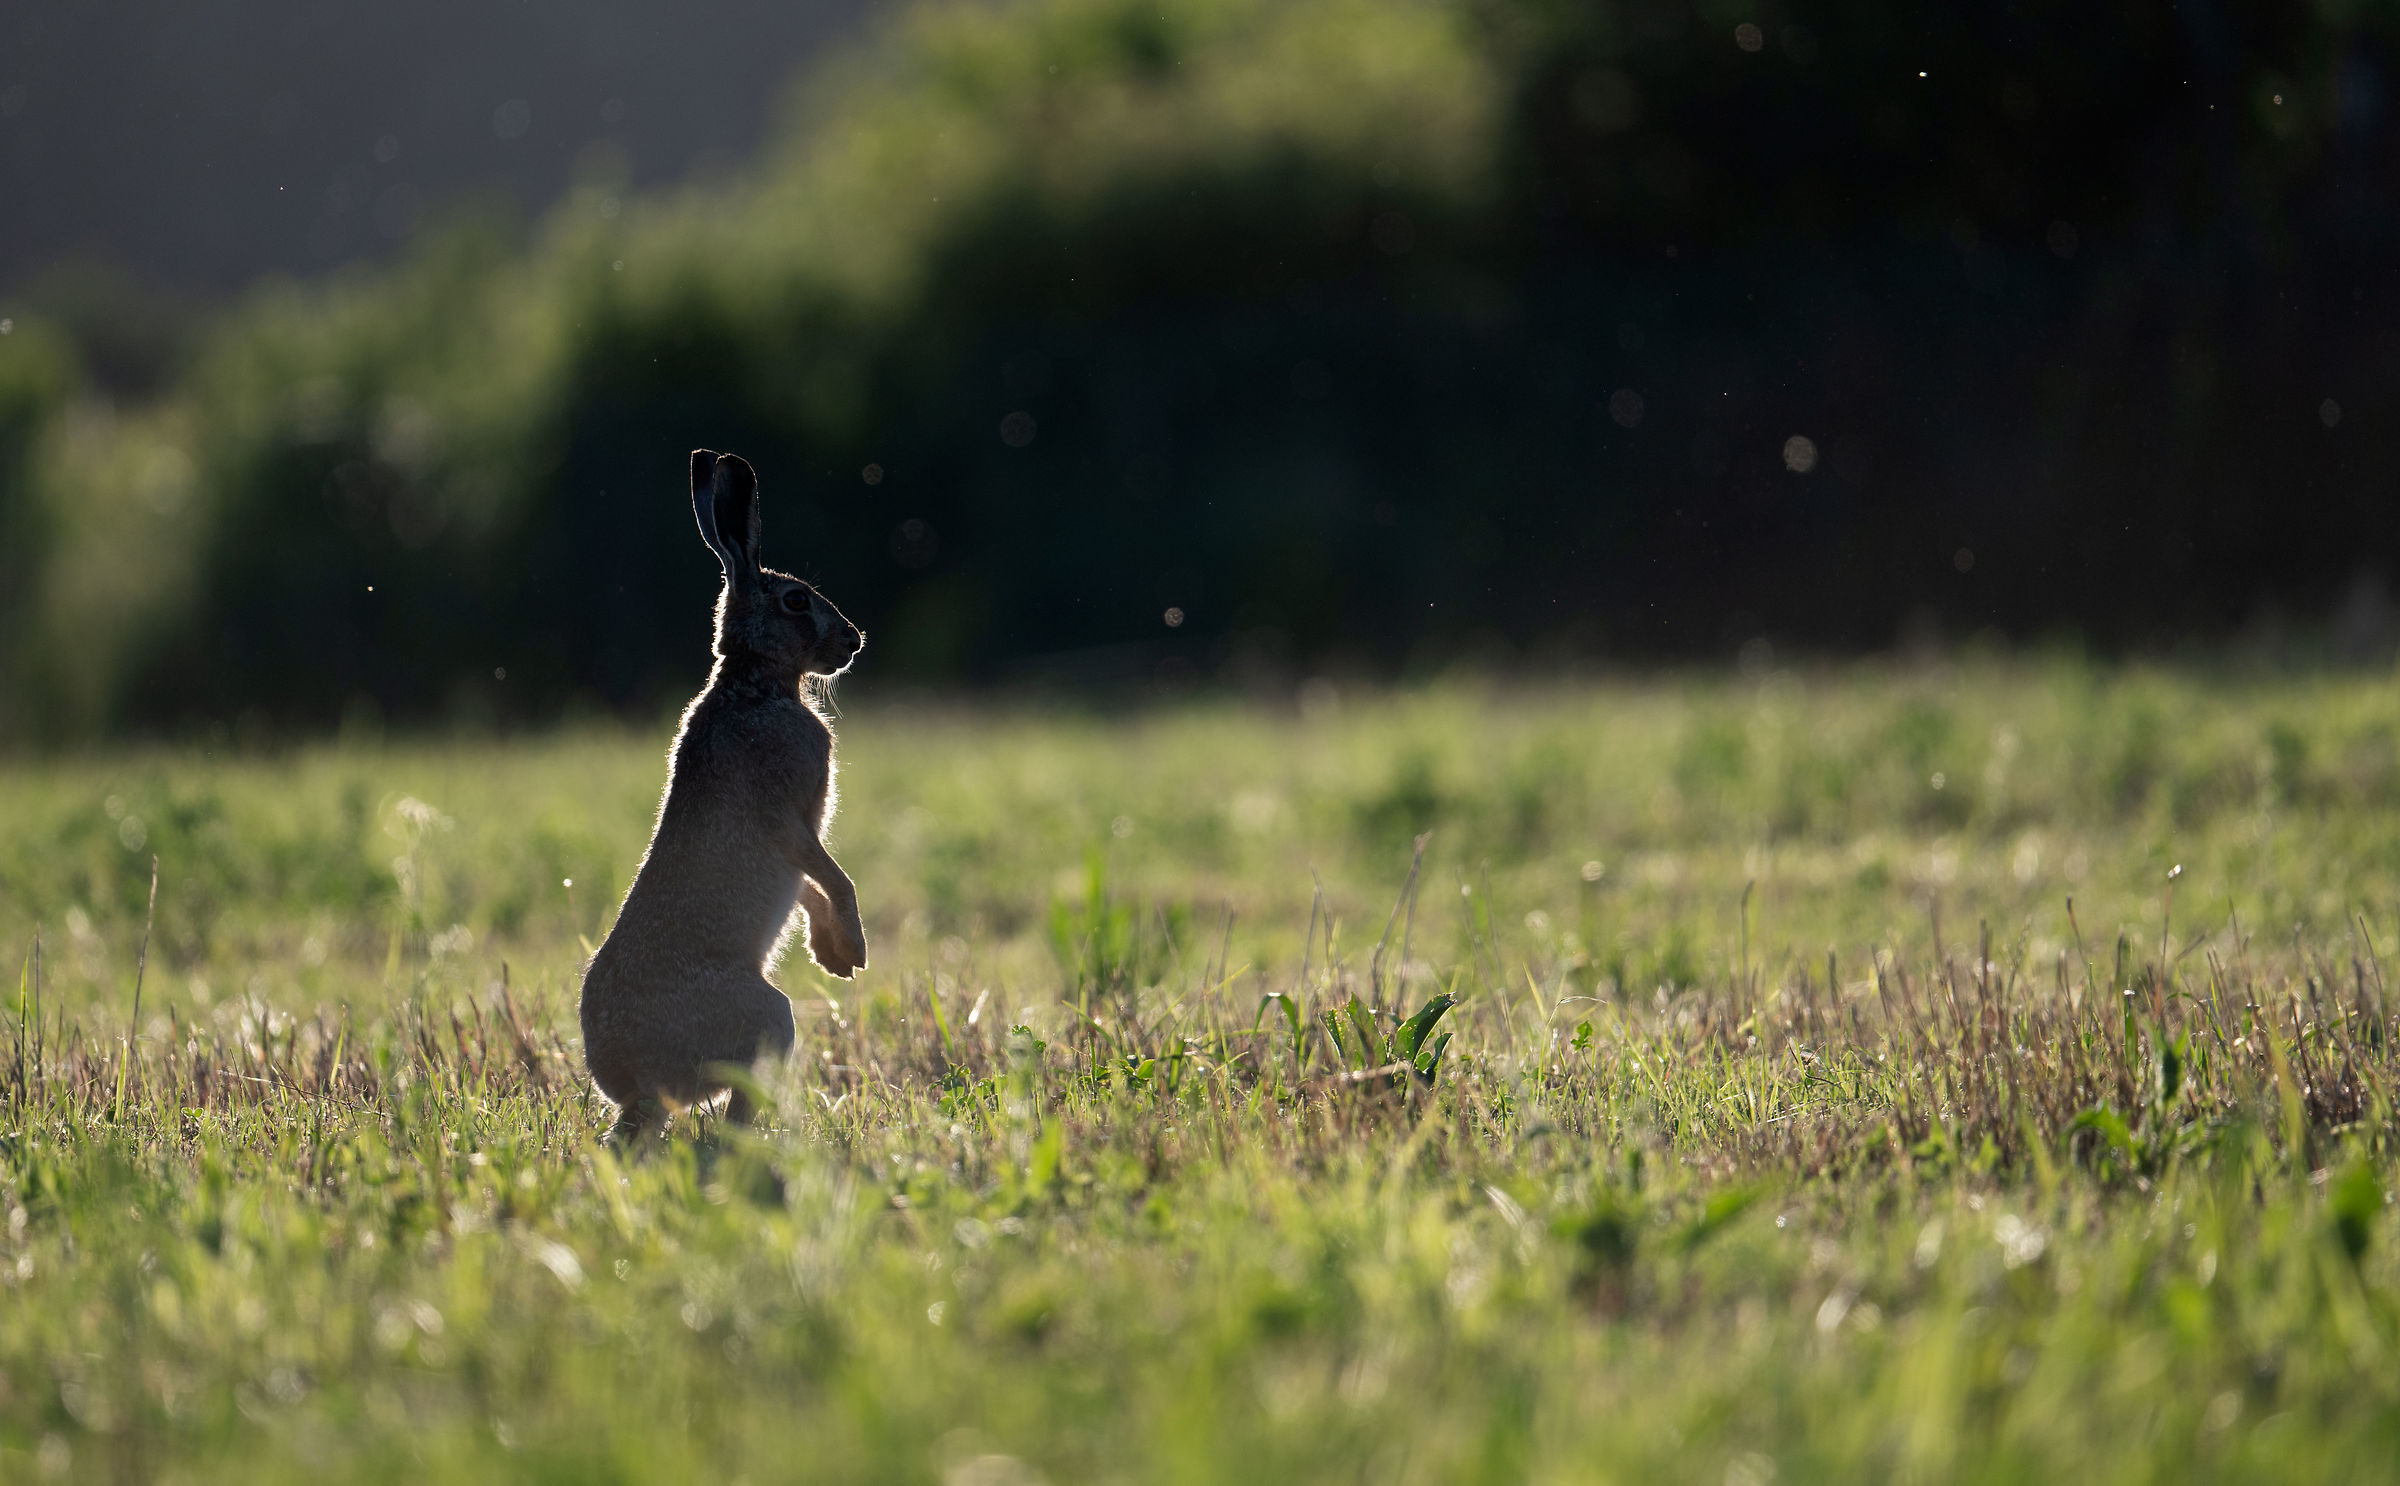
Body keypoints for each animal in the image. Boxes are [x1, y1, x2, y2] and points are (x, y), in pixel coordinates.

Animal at [580, 449, 868, 1142]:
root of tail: (639, 1081)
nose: (854, 640)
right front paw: (854, 946)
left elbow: (810, 888)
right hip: (769, 1019)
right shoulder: (788, 816)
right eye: (796, 601)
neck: (754, 681)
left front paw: (831, 956)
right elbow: (830, 875)